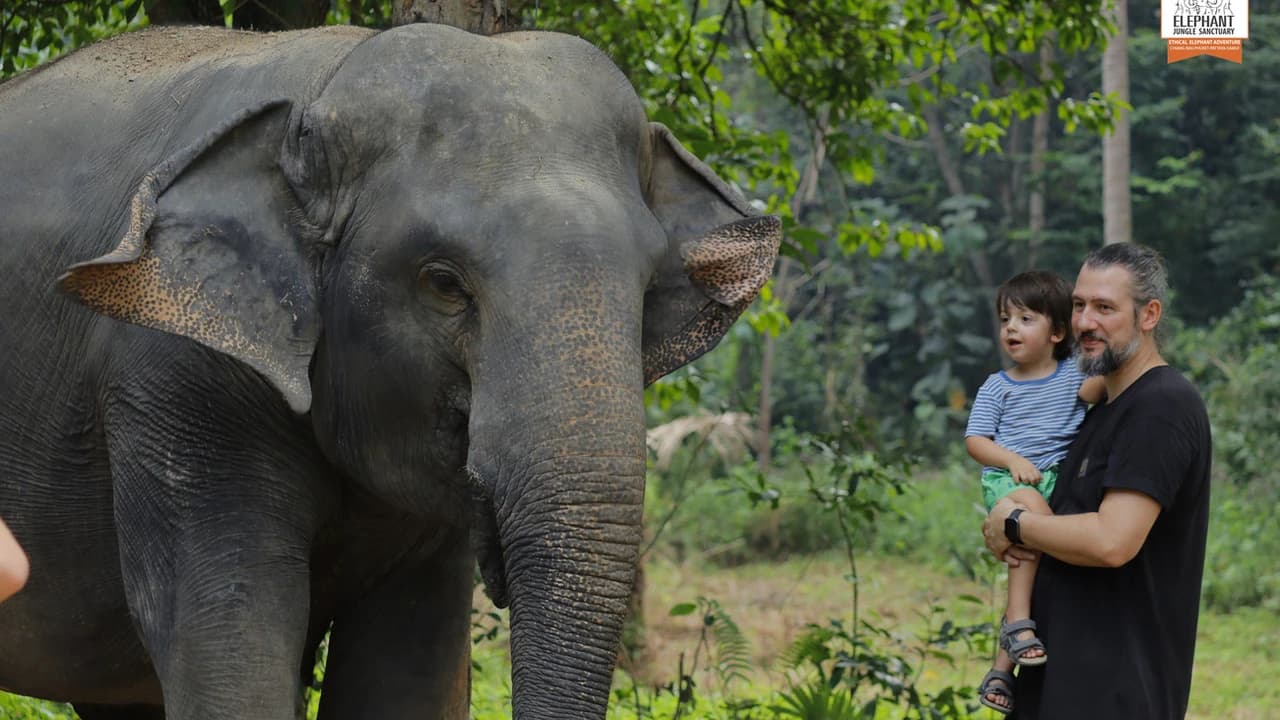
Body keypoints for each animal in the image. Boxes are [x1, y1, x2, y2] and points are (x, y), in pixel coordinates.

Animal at [0, 22, 779, 720]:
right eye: (444, 283)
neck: (323, 86)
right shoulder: (178, 379)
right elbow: (231, 657)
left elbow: (401, 675)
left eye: (648, 288)